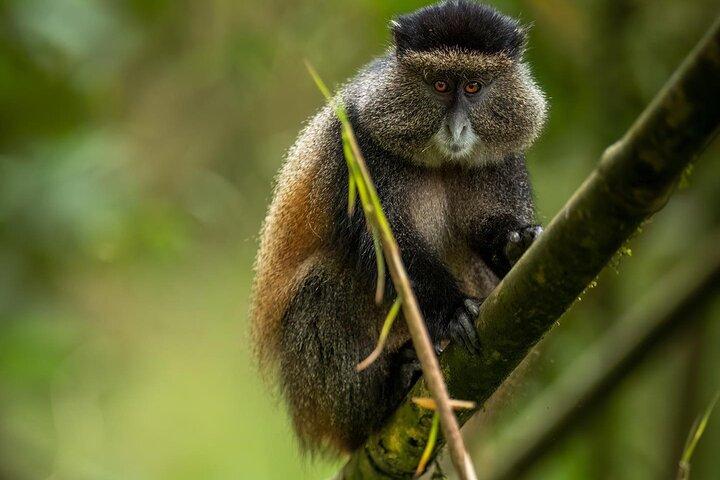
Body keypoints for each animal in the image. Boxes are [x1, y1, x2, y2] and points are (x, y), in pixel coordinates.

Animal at [250, 0, 547, 456]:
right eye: (440, 85)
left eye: (474, 87)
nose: (457, 128)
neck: (441, 162)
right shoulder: (359, 152)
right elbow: (391, 252)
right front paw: (454, 310)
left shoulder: (503, 161)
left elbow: (488, 230)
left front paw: (516, 244)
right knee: (321, 285)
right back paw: (387, 392)